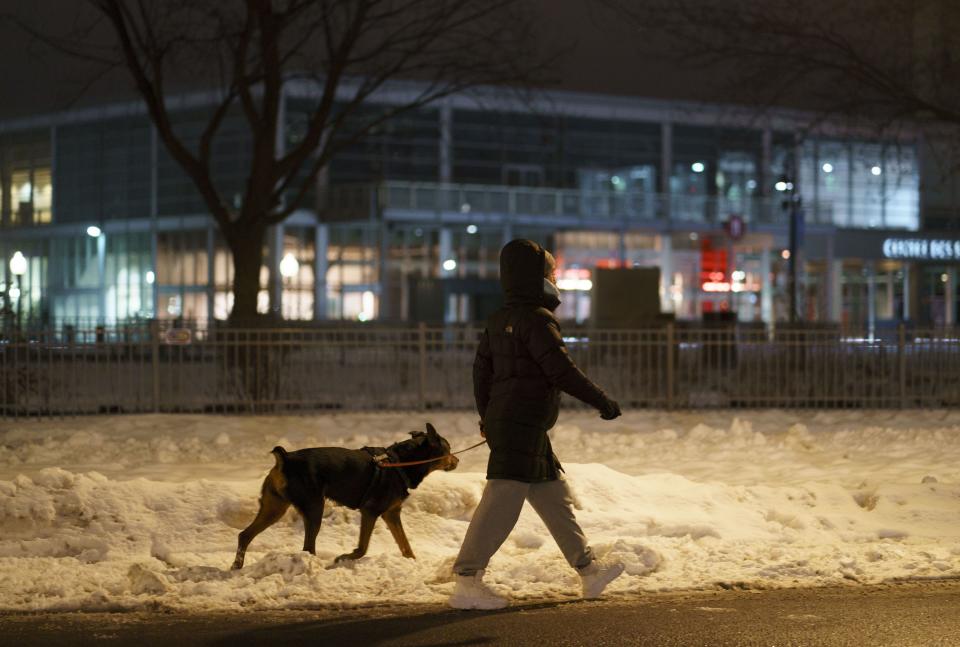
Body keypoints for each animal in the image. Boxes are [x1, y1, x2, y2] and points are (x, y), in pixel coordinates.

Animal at [232, 422, 458, 568]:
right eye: (448, 449)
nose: (457, 460)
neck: (400, 462)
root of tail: (285, 459)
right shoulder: (370, 511)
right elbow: (363, 548)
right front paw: (343, 558)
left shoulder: (391, 514)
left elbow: (405, 544)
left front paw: (413, 564)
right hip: (314, 507)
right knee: (307, 547)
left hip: (274, 507)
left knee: (245, 535)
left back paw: (237, 566)